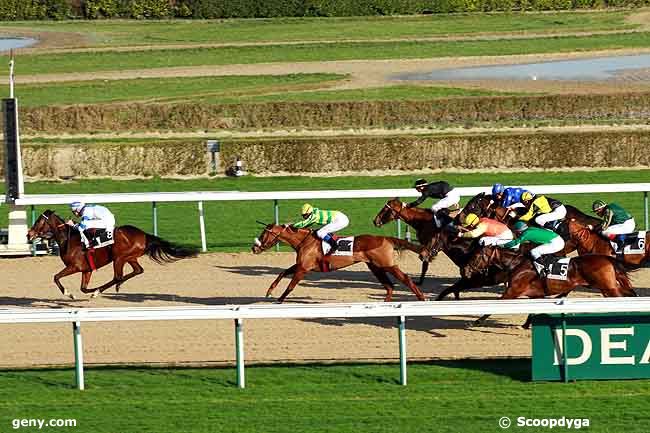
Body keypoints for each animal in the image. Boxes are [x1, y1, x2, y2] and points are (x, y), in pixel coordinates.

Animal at [26, 208, 197, 296]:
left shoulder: (75, 266)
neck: (69, 239)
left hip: (119, 258)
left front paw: (69, 293)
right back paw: (113, 287)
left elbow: (56, 277)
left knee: (117, 276)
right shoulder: (86, 269)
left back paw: (103, 290)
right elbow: (83, 288)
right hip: (130, 257)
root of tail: (143, 235)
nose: (29, 234)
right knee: (138, 270)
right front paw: (88, 290)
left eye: (39, 221)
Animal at [248, 223, 426, 304]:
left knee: (405, 279)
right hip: (375, 267)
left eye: (264, 234)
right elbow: (282, 272)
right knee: (389, 285)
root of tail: (386, 238)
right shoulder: (301, 265)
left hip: (387, 264)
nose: (254, 248)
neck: (304, 241)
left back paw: (422, 298)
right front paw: (269, 291)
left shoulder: (303, 269)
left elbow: (291, 285)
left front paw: (279, 300)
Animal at [460, 246, 632, 324]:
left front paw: (477, 321)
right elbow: (534, 311)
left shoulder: (512, 291)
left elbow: (493, 306)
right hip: (607, 287)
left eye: (476, 256)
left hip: (607, 287)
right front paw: (526, 325)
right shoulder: (536, 294)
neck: (516, 264)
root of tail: (607, 258)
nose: (465, 271)